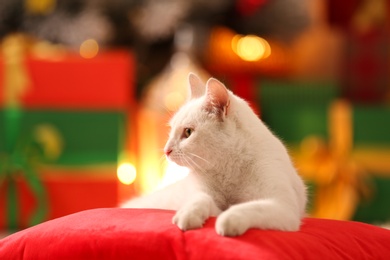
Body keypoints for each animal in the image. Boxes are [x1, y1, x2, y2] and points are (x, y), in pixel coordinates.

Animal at [122, 72, 308, 236]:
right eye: (171, 131)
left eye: (188, 132)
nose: (166, 150)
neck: (229, 169)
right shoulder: (206, 197)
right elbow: (201, 199)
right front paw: (188, 214)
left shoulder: (282, 207)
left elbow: (251, 207)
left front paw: (228, 220)